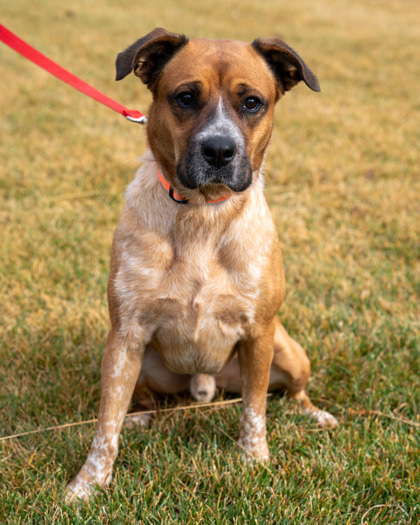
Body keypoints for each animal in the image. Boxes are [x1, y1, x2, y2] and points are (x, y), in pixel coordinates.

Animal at [64, 27, 336, 500]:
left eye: (252, 102)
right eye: (186, 97)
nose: (219, 150)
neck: (201, 217)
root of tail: (204, 380)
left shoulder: (259, 333)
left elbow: (254, 408)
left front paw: (253, 460)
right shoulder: (124, 337)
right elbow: (105, 424)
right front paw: (88, 485)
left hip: (288, 351)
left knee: (292, 393)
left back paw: (314, 415)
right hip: (142, 362)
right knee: (140, 400)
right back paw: (140, 418)